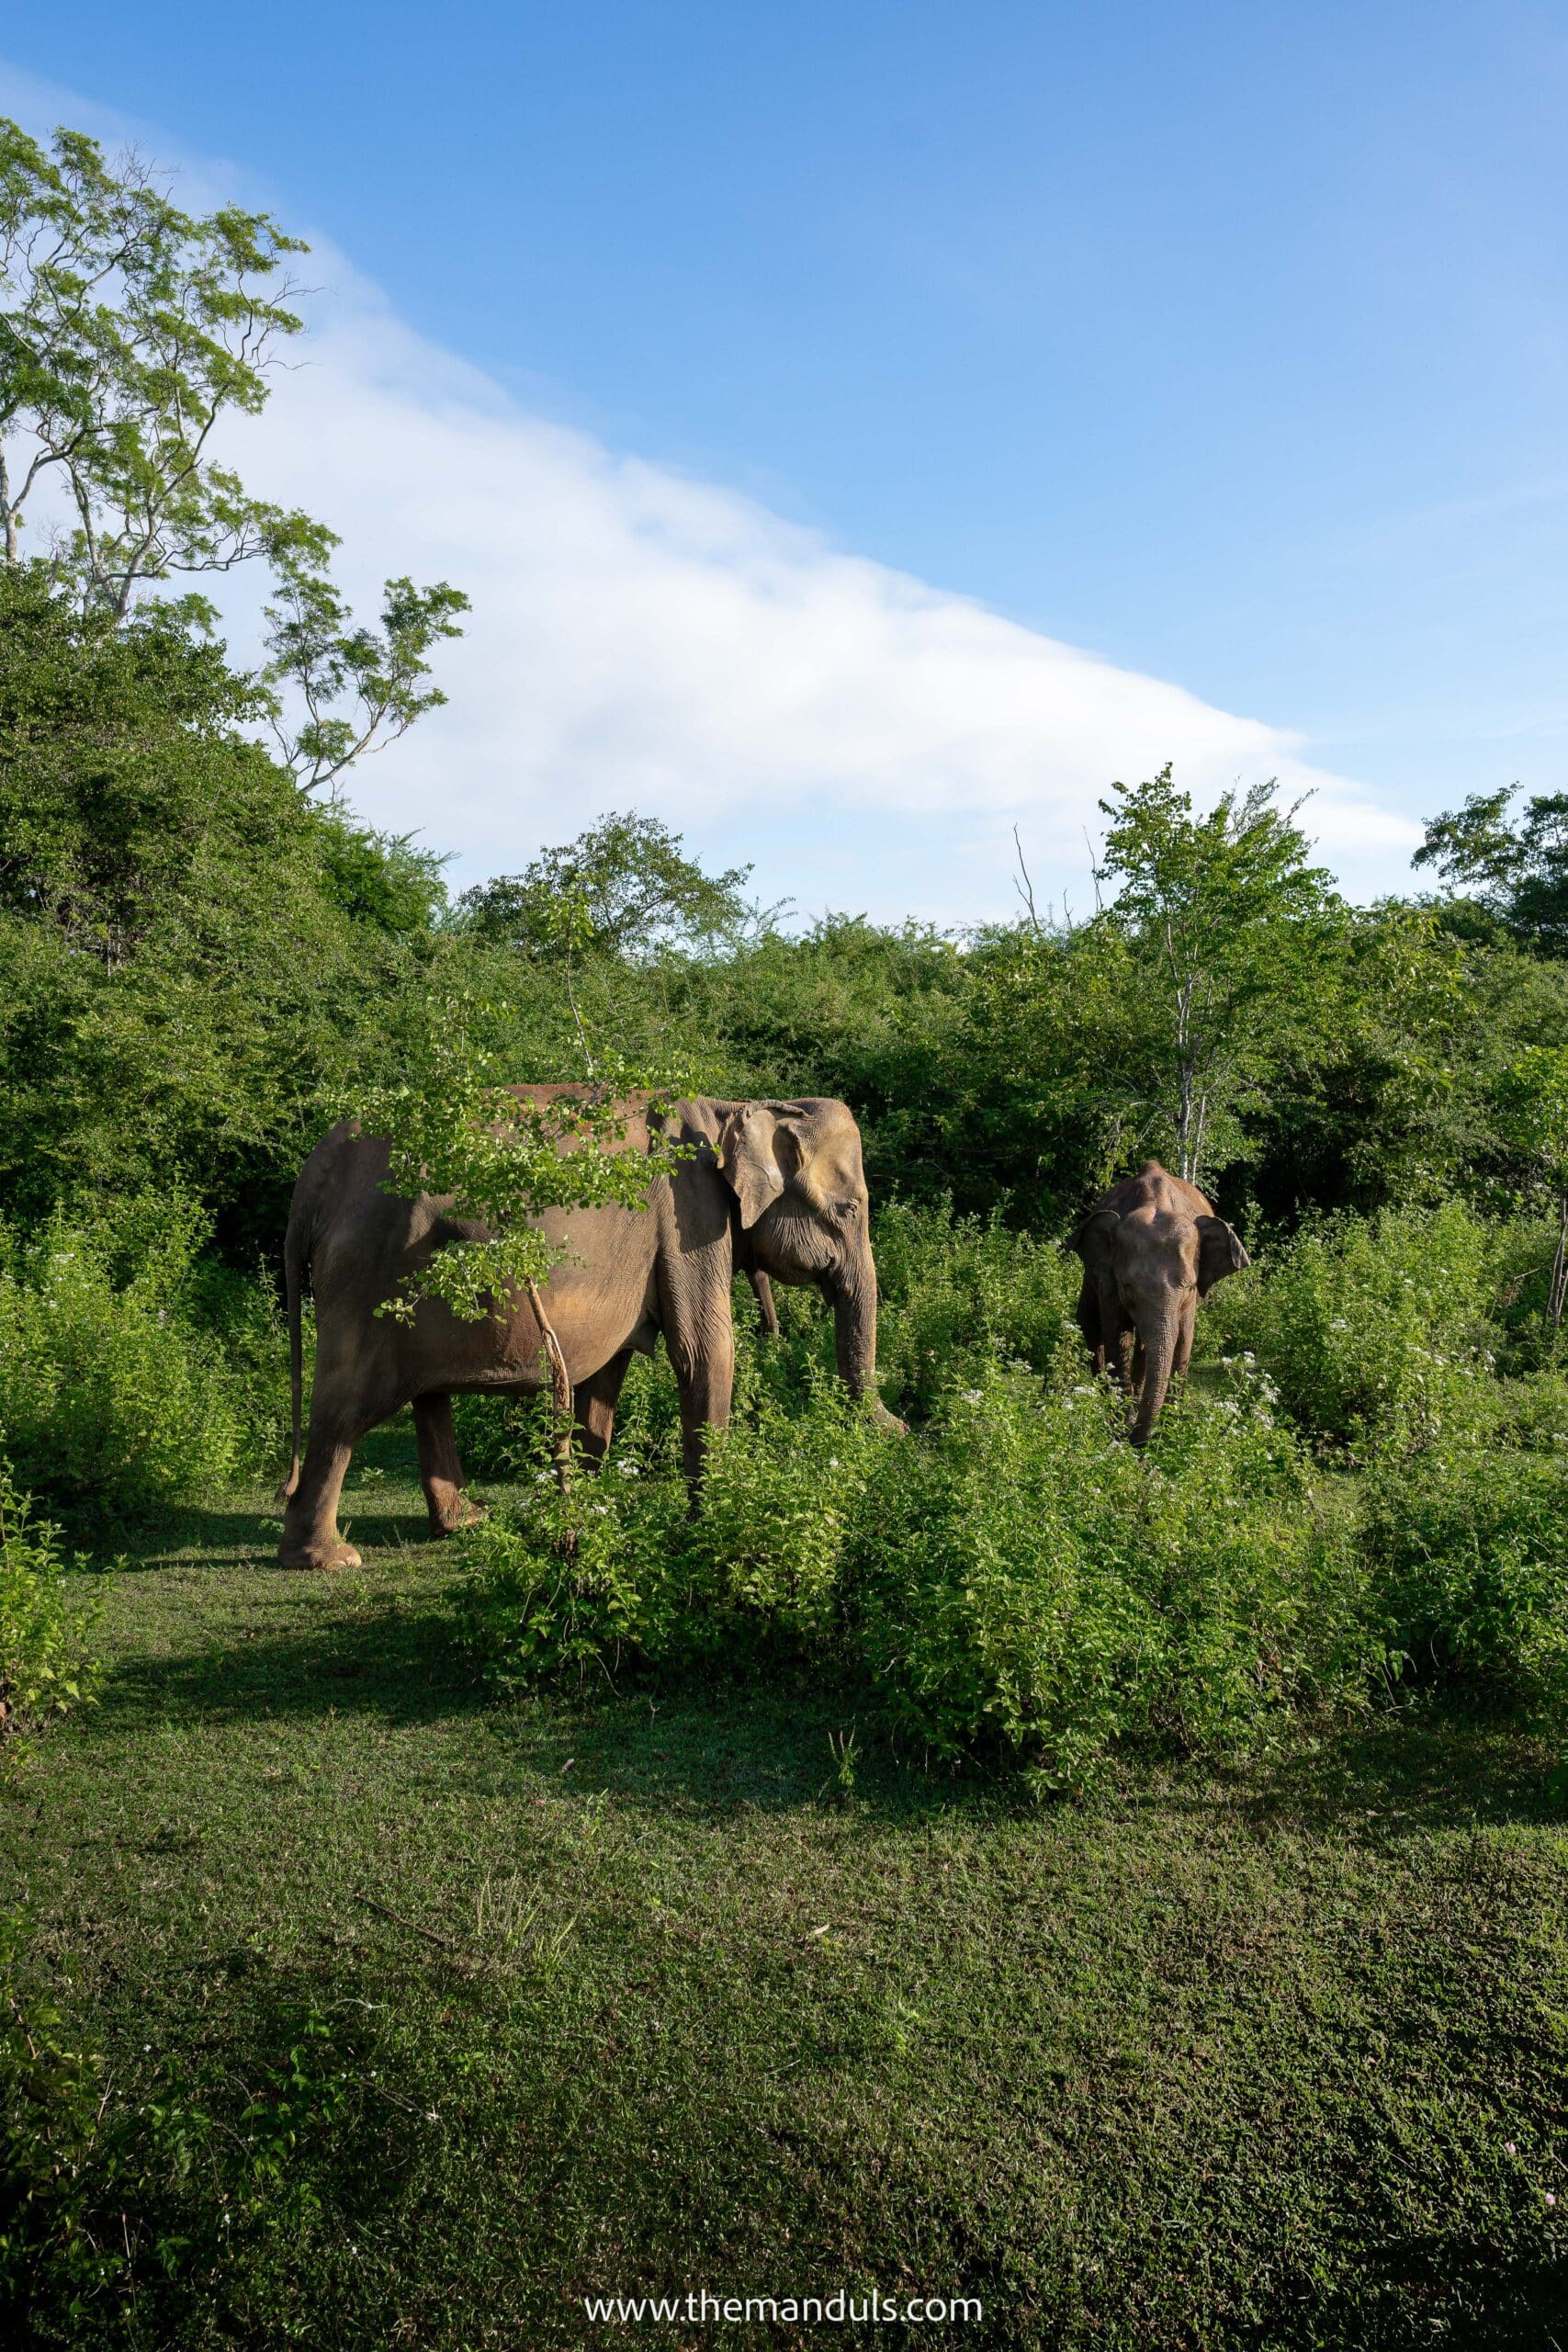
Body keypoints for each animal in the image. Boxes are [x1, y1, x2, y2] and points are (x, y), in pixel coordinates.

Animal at [276, 1091, 902, 1571]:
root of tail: (310, 1186)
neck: (734, 1108)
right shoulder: (690, 1213)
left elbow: (607, 1374)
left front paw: (592, 1508)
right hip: (368, 1280)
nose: (897, 1430)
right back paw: (329, 1559)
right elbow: (704, 1351)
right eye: (849, 1210)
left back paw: (466, 1524)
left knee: (427, 1397)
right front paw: (713, 1523)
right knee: (345, 1410)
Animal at [1066, 1161, 1250, 1439]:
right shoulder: (1109, 1280)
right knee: (1089, 1322)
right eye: (1127, 1286)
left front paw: (1168, 1430)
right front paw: (1122, 1425)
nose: (1136, 1440)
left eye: (1190, 1287)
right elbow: (1116, 1336)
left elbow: (1184, 1339)